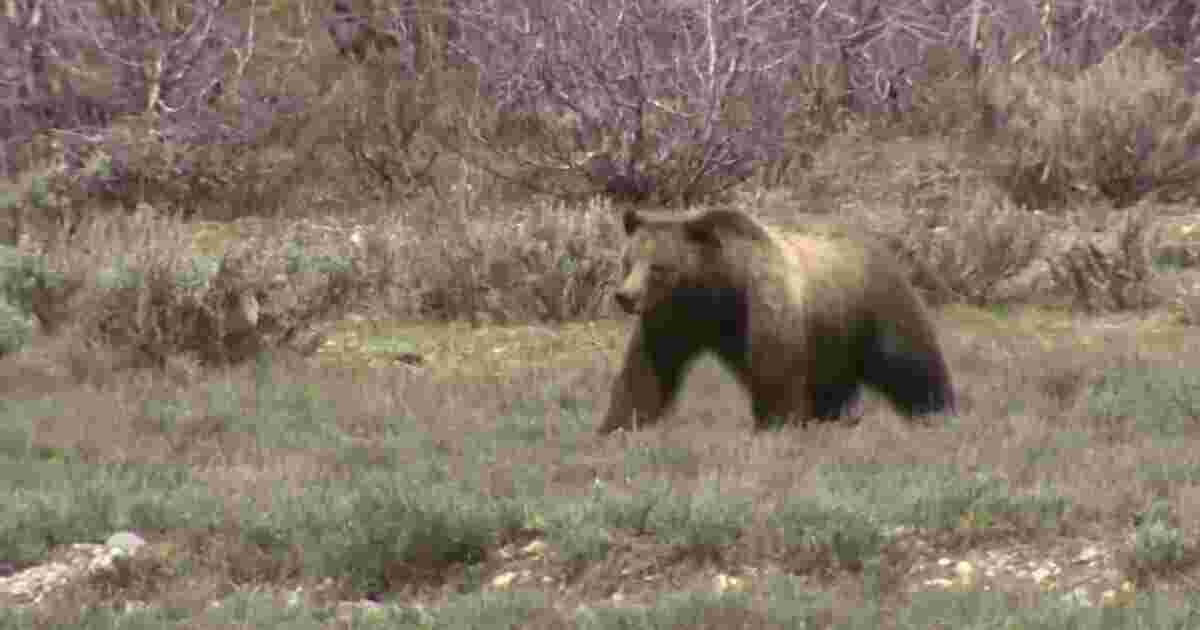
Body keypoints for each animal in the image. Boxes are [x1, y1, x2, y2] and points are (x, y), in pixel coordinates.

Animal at [597, 207, 954, 434]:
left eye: (658, 267)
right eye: (628, 262)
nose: (626, 296)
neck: (717, 287)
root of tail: (879, 245)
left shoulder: (764, 303)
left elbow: (776, 371)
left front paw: (775, 425)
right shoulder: (675, 317)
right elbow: (646, 371)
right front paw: (619, 425)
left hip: (873, 307)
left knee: (908, 360)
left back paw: (936, 409)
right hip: (831, 338)